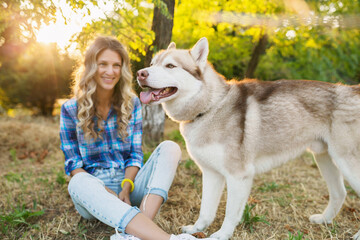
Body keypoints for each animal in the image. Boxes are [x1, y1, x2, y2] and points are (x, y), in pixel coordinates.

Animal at [137, 38, 360, 240]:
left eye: (170, 66)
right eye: (152, 64)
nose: (140, 73)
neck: (211, 107)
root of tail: (353, 90)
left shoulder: (238, 176)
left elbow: (230, 213)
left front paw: (221, 235)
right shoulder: (211, 173)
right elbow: (206, 209)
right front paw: (197, 229)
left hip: (346, 163)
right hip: (324, 158)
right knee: (340, 193)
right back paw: (324, 219)